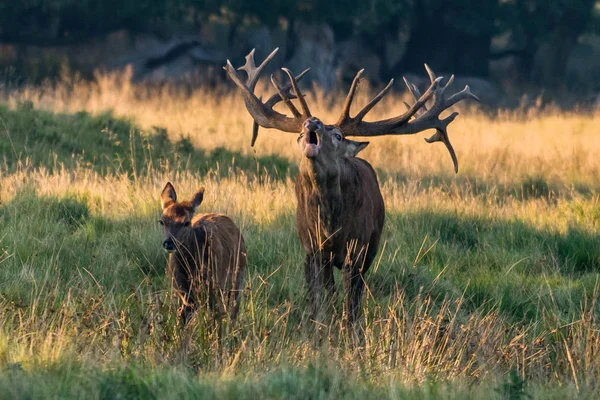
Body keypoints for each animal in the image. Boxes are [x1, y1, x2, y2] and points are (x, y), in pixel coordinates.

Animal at [159, 183, 246, 324]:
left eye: (186, 222)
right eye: (162, 221)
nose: (169, 243)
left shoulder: (213, 285)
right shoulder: (181, 291)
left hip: (237, 279)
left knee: (232, 311)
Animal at [224, 48, 478, 332]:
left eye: (338, 135)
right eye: (300, 134)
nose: (312, 122)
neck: (330, 225)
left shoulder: (358, 247)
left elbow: (351, 297)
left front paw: (348, 329)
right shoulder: (310, 247)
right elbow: (318, 296)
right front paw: (318, 325)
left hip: (371, 245)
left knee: (357, 289)